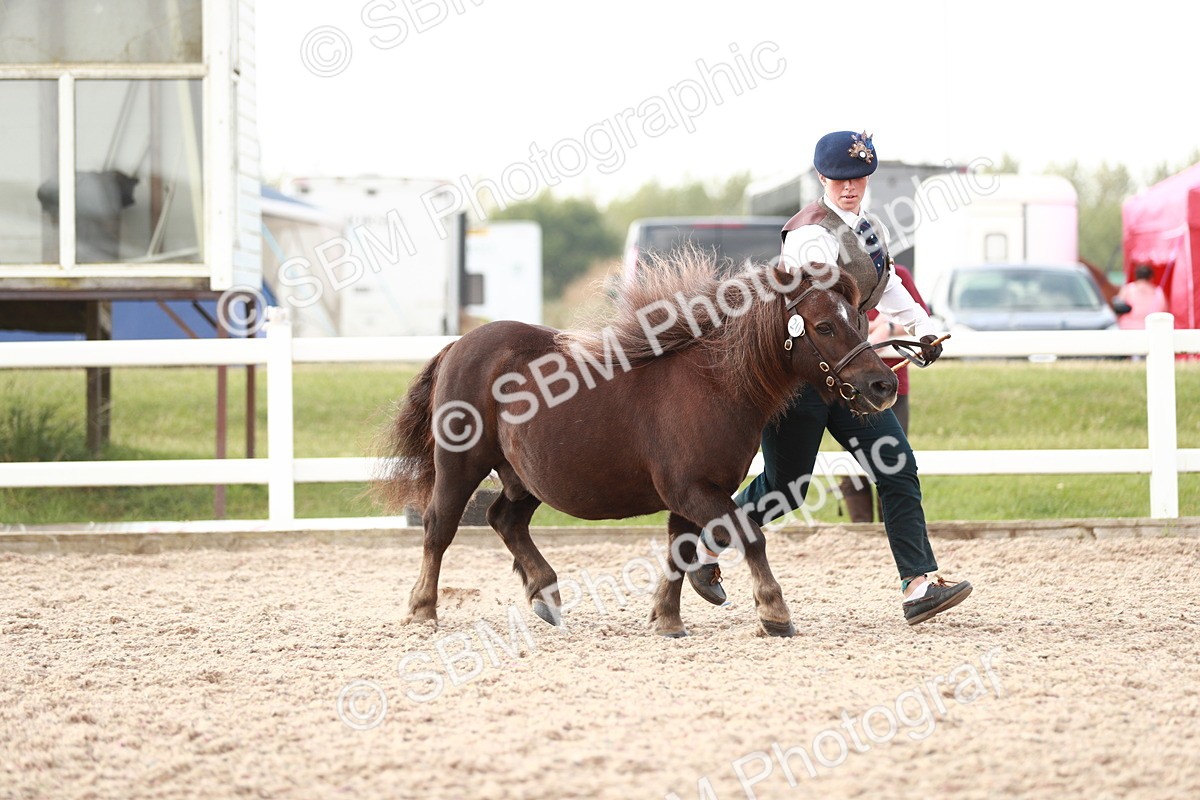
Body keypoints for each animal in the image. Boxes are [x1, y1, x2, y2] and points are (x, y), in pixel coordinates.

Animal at [374, 252, 899, 637]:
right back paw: (422, 610)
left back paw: (546, 594)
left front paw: (668, 617)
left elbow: (681, 550)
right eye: (825, 326)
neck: (714, 385)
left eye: (858, 318)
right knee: (439, 528)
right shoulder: (692, 489)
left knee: (505, 520)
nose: (883, 385)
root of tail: (459, 345)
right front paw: (774, 611)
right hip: (460, 464)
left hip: (523, 477)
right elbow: (748, 535)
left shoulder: (693, 494)